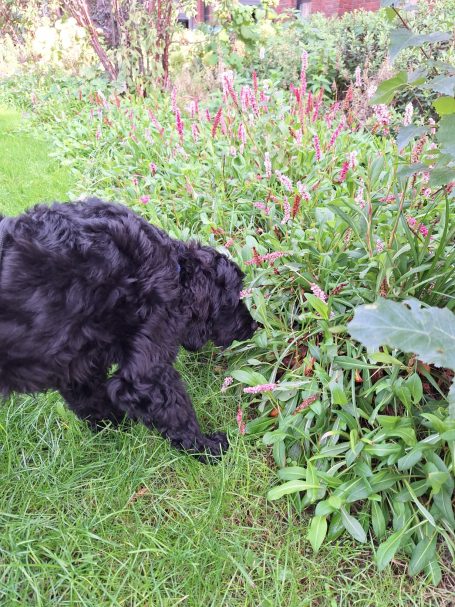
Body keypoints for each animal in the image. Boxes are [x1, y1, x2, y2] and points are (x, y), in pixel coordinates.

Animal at [0, 200, 256, 460]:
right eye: (234, 299)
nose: (255, 326)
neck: (174, 271)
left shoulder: (78, 366)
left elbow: (93, 402)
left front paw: (115, 430)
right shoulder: (146, 376)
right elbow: (177, 414)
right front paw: (207, 449)